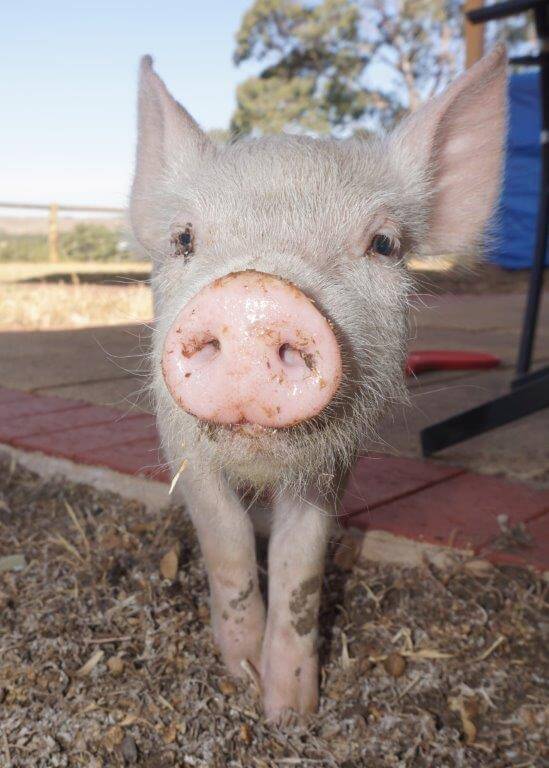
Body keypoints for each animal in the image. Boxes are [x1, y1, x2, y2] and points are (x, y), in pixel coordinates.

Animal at [130, 46, 506, 720]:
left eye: (383, 243)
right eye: (184, 239)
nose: (253, 296)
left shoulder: (335, 454)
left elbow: (300, 559)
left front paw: (289, 712)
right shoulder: (177, 438)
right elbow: (226, 538)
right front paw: (241, 678)